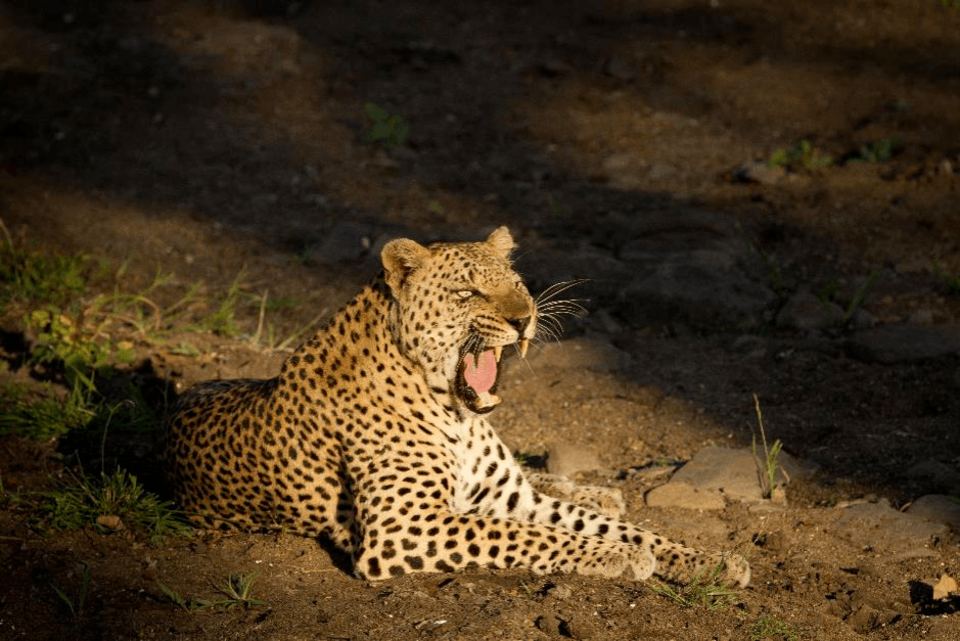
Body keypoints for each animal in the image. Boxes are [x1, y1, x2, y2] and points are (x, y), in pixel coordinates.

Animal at [162, 227, 750, 586]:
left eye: (517, 284)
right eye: (468, 293)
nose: (524, 318)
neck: (456, 414)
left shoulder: (508, 497)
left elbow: (601, 526)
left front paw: (711, 561)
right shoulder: (403, 526)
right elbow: (526, 535)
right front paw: (619, 558)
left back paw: (599, 491)